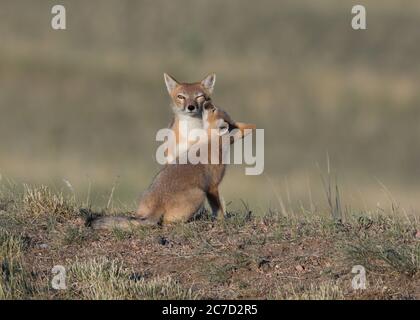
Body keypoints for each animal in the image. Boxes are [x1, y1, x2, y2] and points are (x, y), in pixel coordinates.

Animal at [91, 101, 256, 229]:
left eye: (212, 109)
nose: (206, 103)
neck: (211, 142)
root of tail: (158, 202)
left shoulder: (212, 187)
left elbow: (218, 209)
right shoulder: (212, 187)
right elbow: (219, 210)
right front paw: (222, 220)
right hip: (199, 194)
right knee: (166, 223)